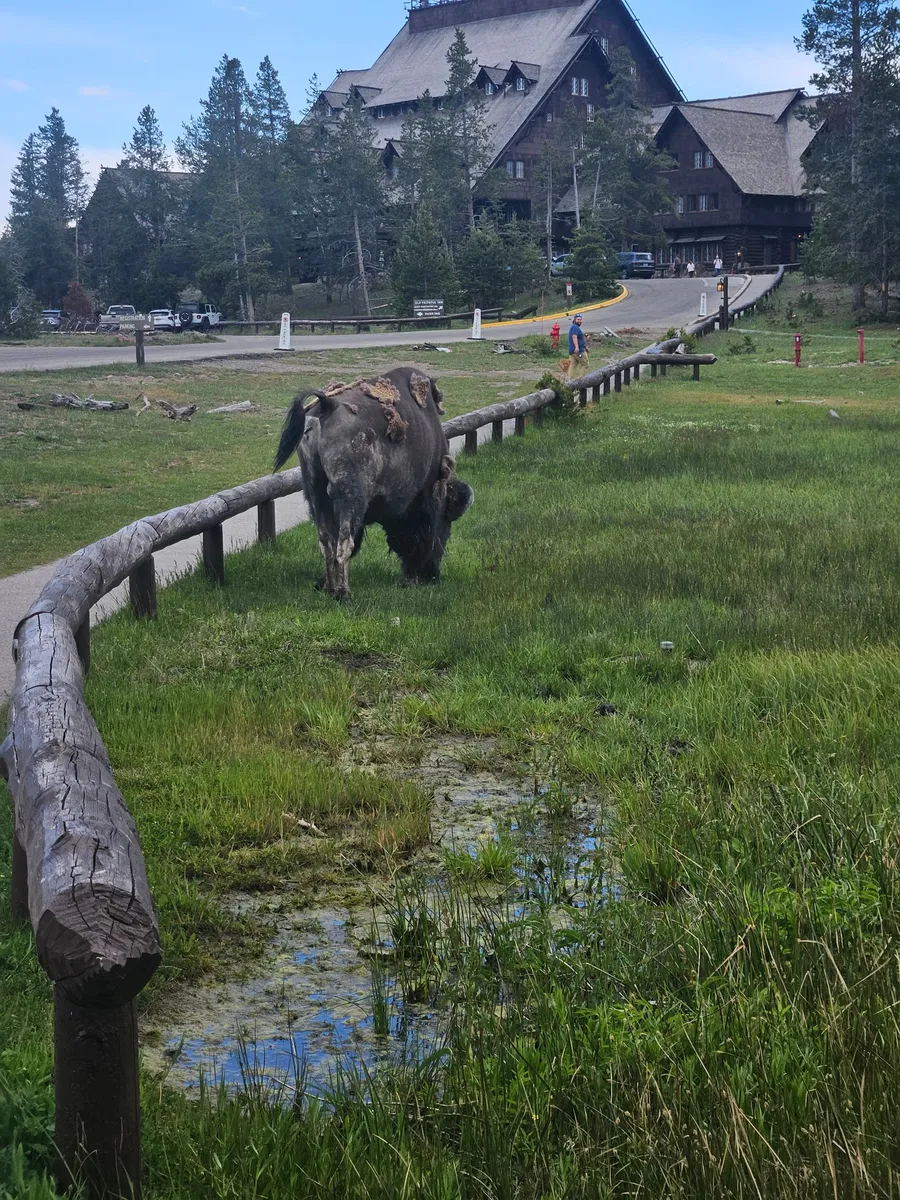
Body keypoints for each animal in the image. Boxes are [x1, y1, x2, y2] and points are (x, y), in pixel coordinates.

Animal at [273, 366, 474, 601]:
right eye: (446, 521)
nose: (430, 576)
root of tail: (328, 404)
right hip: (350, 497)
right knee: (344, 543)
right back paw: (343, 595)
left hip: (316, 492)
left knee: (326, 541)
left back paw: (331, 589)